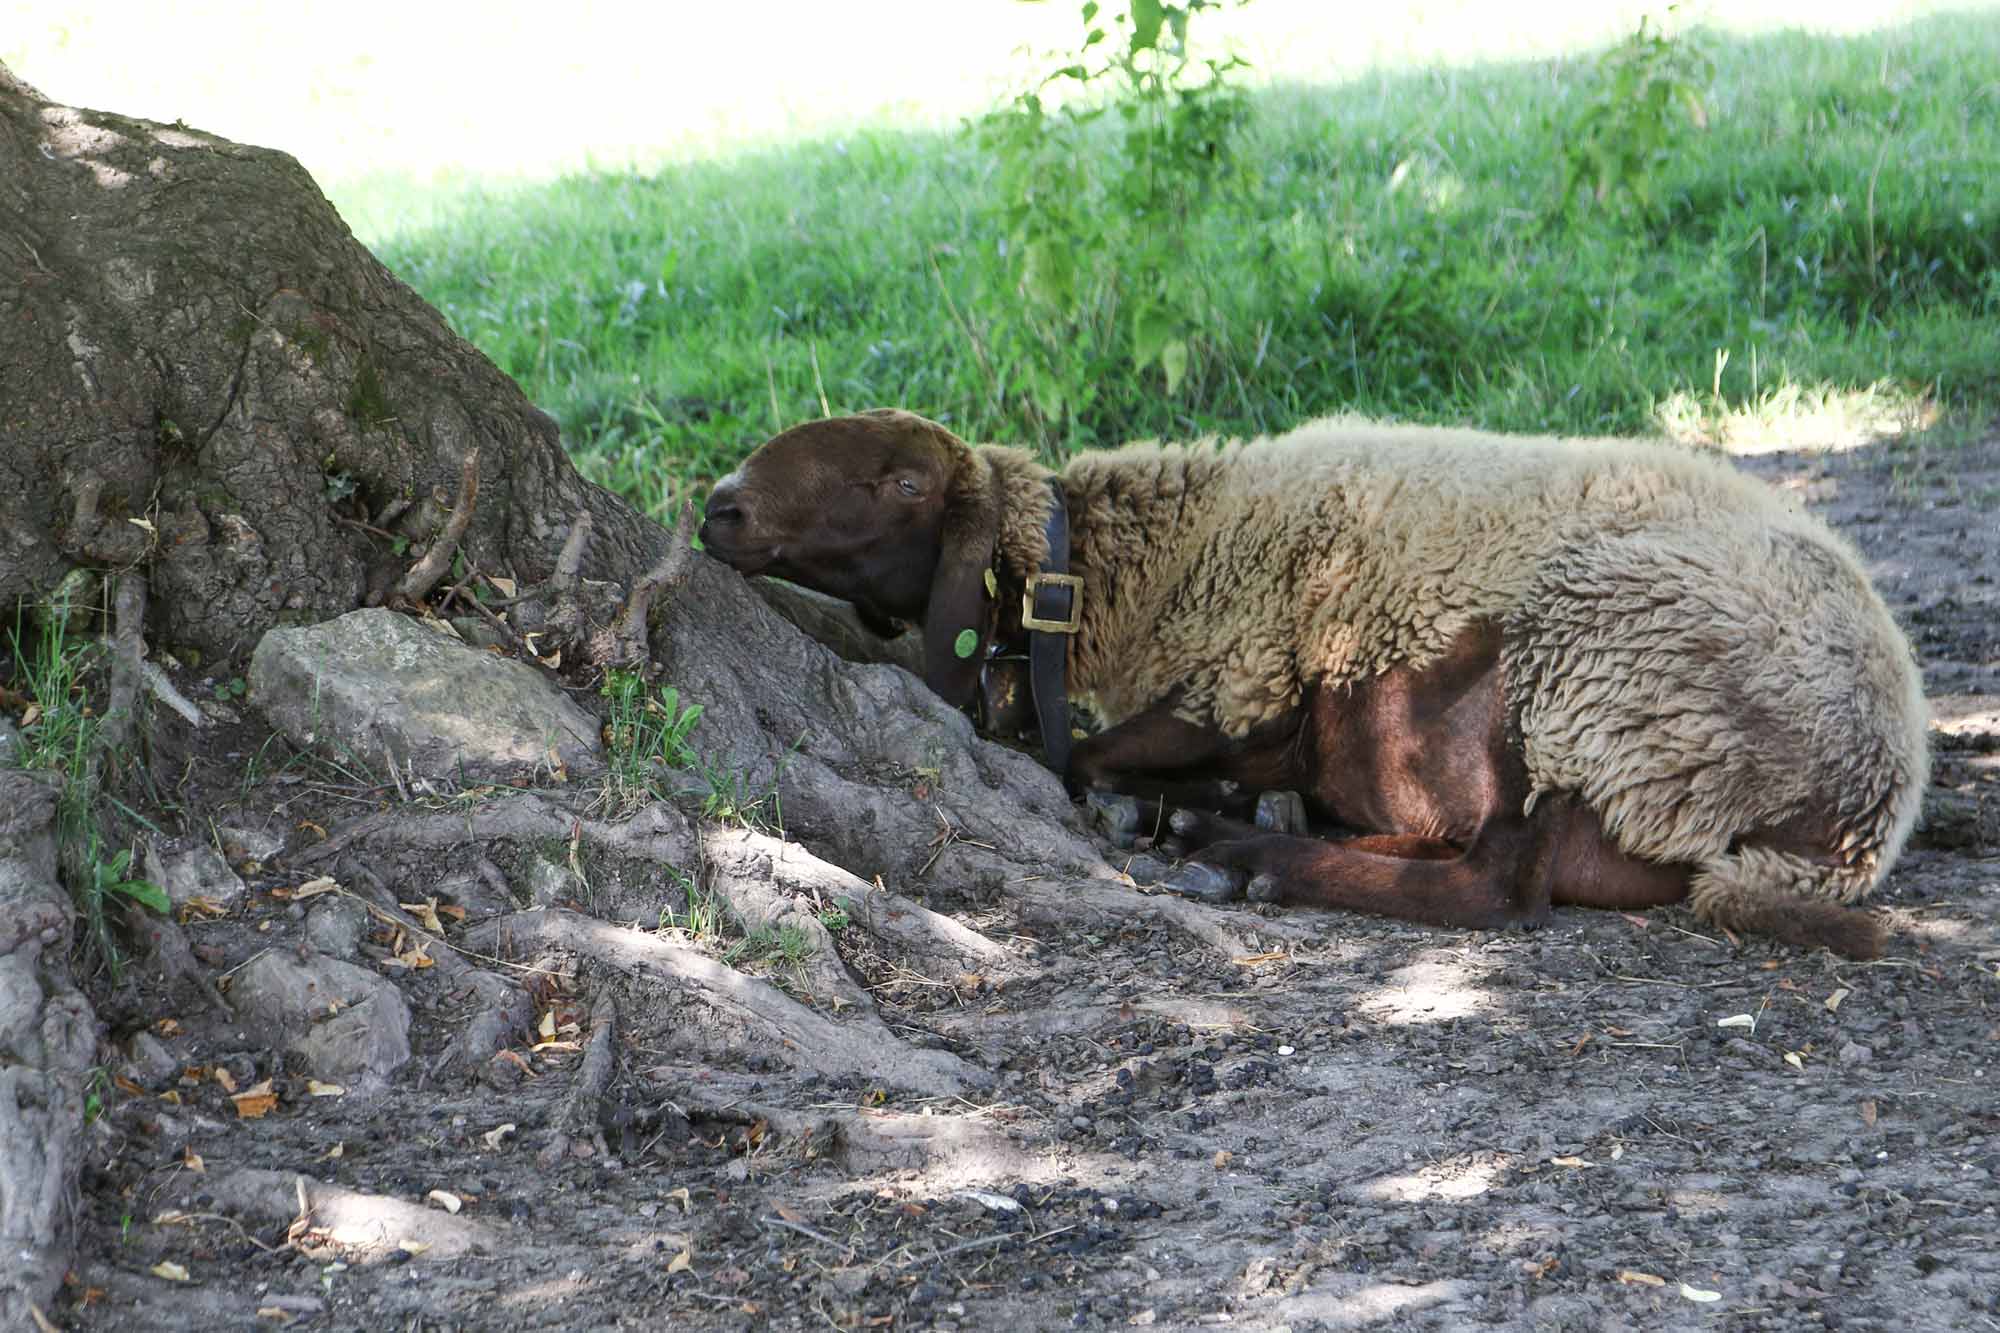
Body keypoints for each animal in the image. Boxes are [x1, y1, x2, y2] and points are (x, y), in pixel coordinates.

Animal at [699, 409, 1930, 958]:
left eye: (900, 483)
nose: (718, 508)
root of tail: (1859, 813)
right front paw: (1205, 806)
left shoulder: (1247, 685)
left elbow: (1087, 754)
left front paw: (1166, 804)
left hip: (1586, 675)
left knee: (1499, 884)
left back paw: (1237, 854)